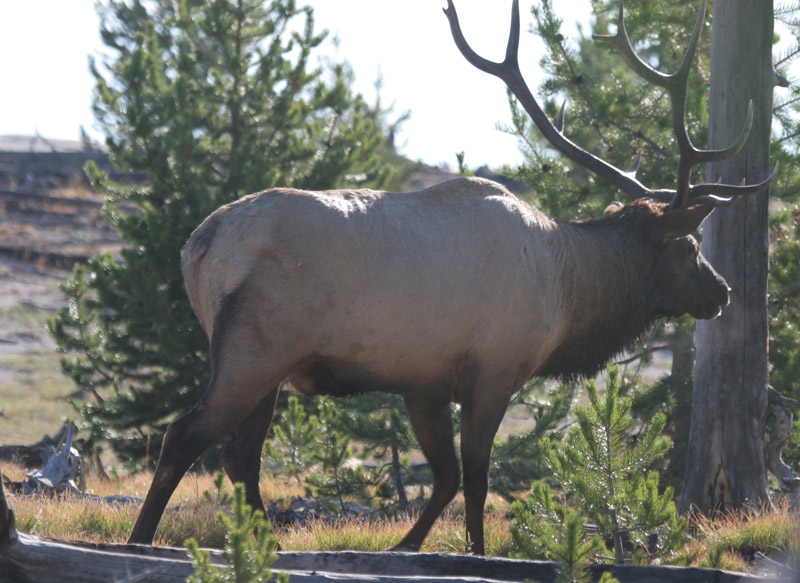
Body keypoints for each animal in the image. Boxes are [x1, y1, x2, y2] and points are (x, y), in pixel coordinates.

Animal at [126, 0, 776, 556]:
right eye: (688, 246)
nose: (721, 291)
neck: (567, 291)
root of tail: (198, 246)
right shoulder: (494, 370)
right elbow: (477, 480)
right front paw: (475, 551)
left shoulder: (425, 383)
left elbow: (443, 477)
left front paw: (405, 545)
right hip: (255, 347)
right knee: (186, 436)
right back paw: (141, 540)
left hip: (269, 366)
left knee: (240, 458)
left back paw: (264, 544)